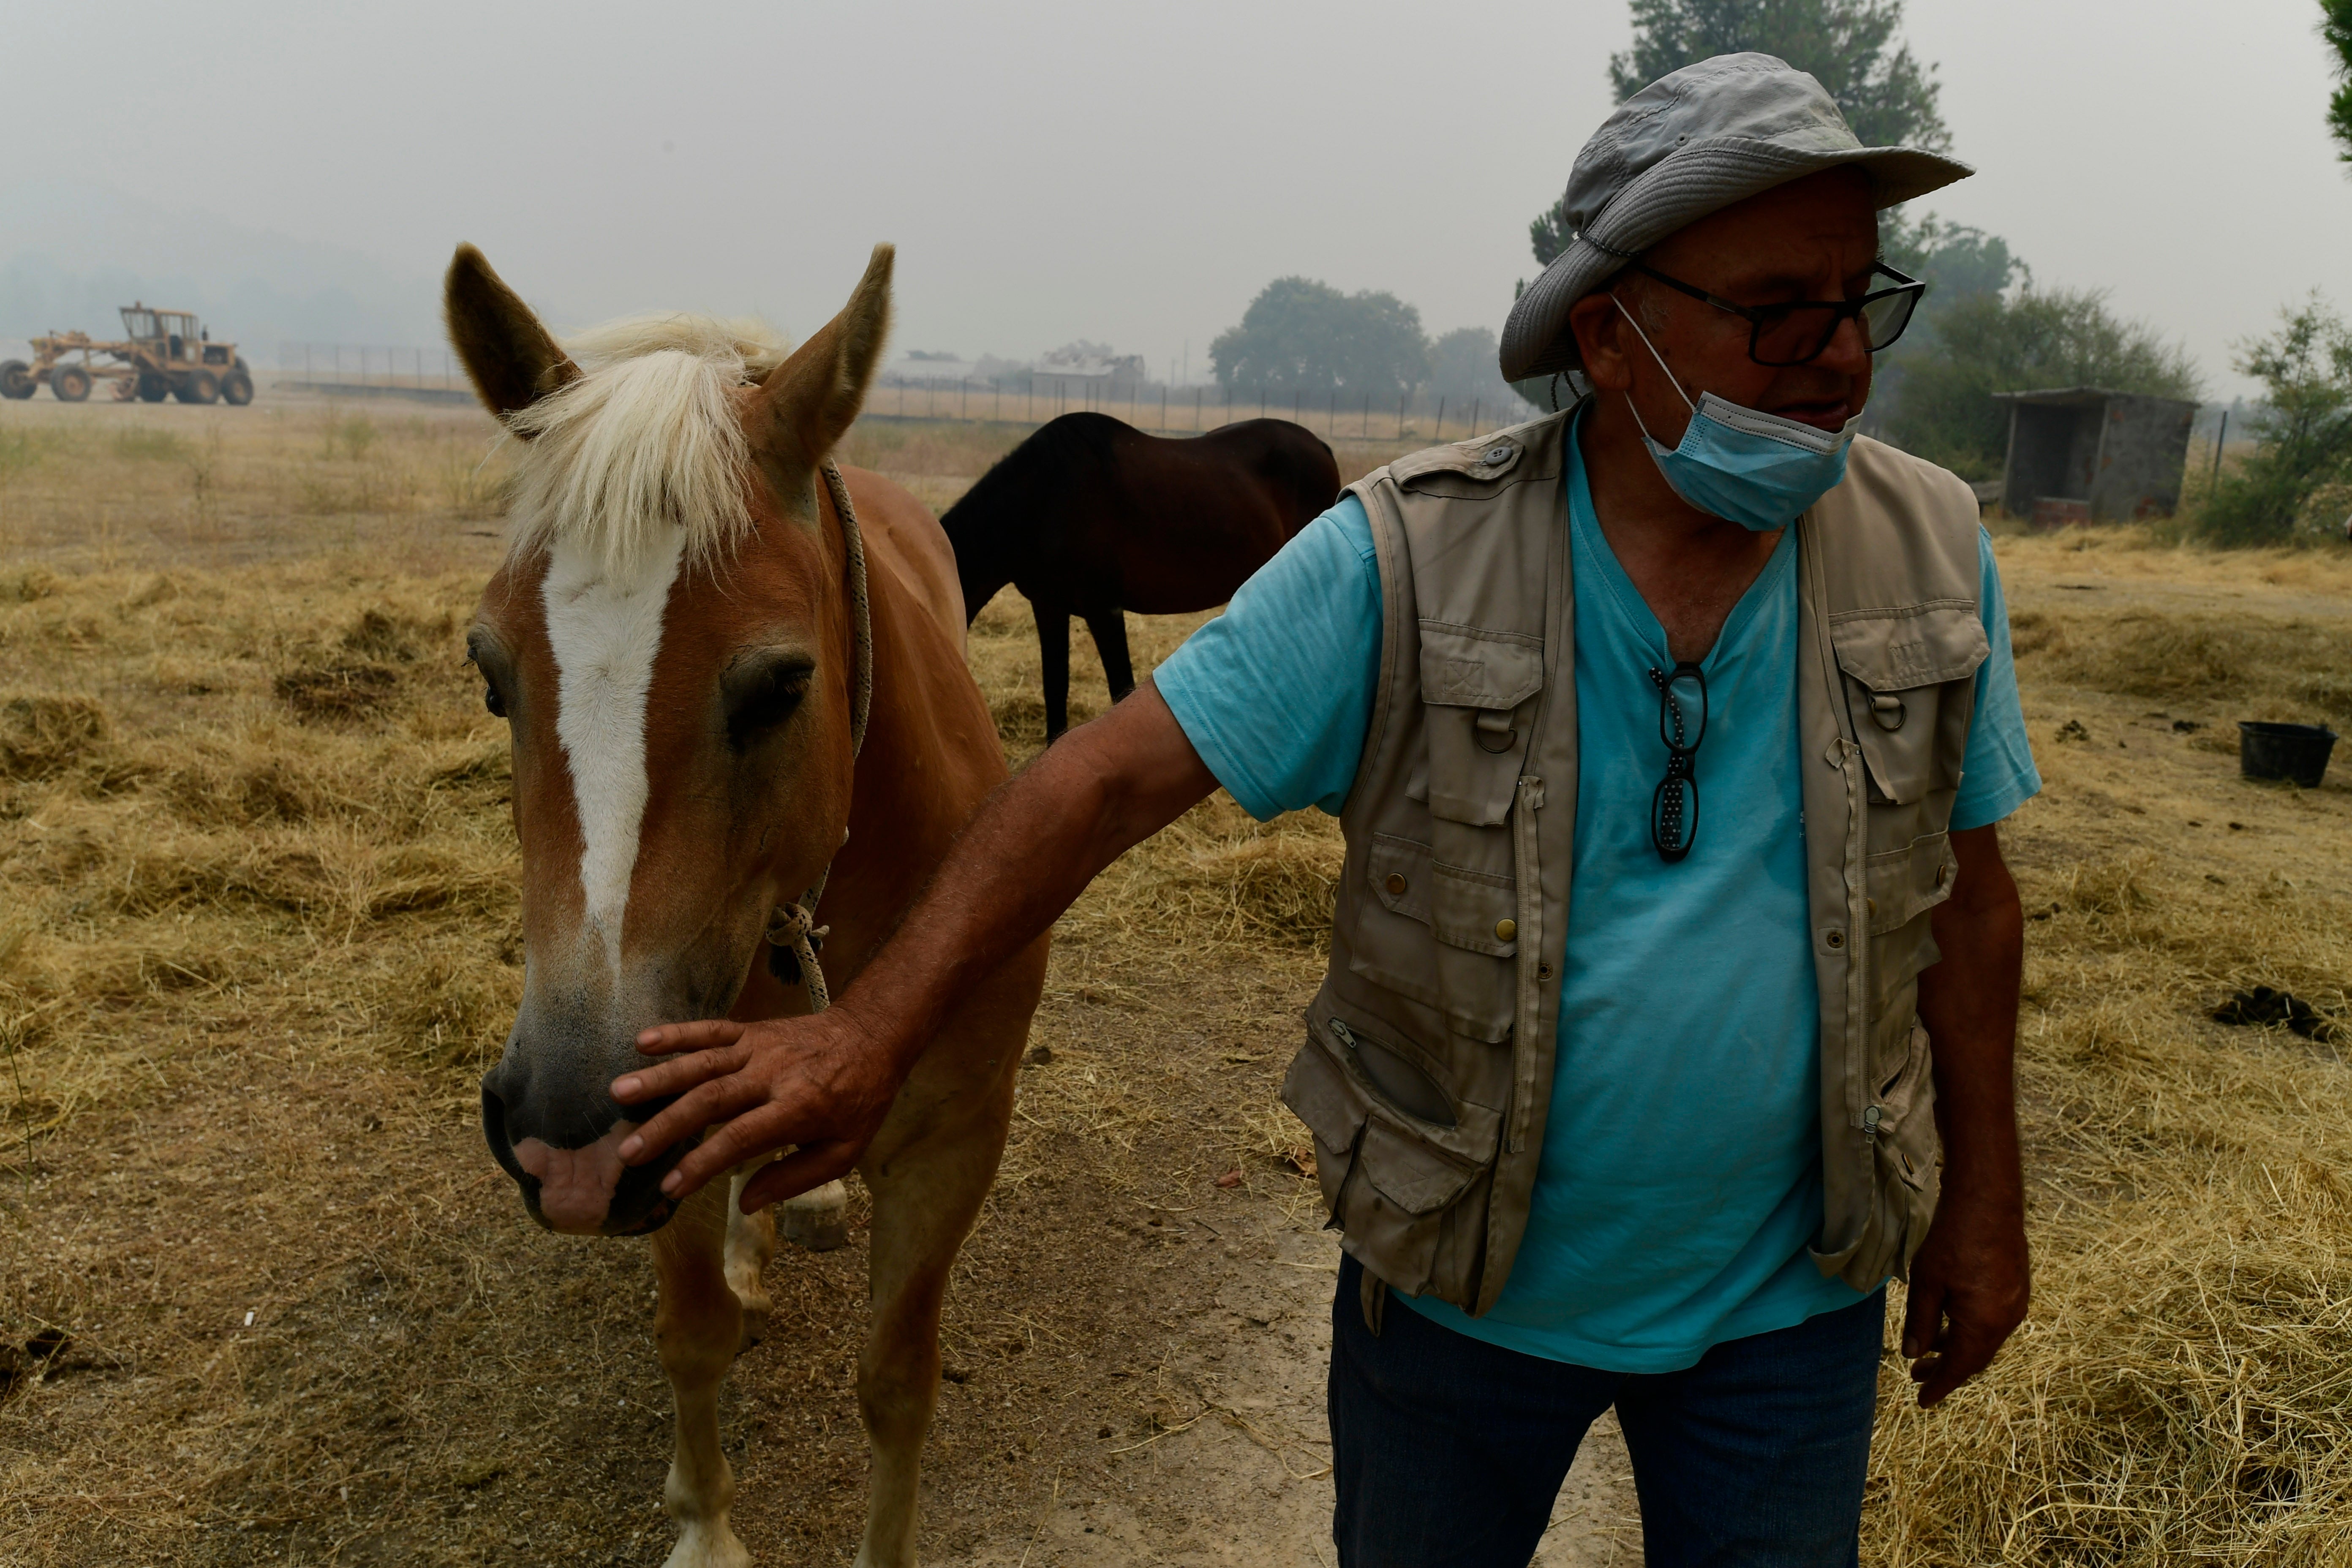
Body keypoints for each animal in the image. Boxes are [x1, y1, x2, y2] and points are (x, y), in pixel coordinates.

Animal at [454, 245, 1044, 1568]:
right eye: (491, 673)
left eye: (781, 684)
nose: (562, 1118)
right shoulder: (662, 1118)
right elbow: (695, 1337)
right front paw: (707, 1526)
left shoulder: (955, 1140)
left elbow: (896, 1383)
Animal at [941, 414, 1345, 738]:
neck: (1041, 502)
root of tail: (1321, 447)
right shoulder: (1049, 607)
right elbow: (1055, 688)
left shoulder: (1104, 610)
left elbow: (1121, 688)